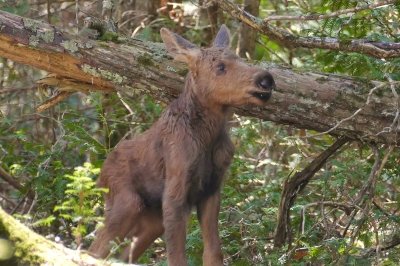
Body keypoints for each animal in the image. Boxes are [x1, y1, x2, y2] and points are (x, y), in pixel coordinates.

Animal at [89, 23, 276, 264]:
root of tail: (100, 173)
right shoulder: (175, 193)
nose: (266, 79)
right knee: (95, 249)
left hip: (151, 219)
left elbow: (213, 252)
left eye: (241, 59)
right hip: (126, 201)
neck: (208, 139)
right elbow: (177, 256)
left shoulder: (211, 189)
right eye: (220, 67)